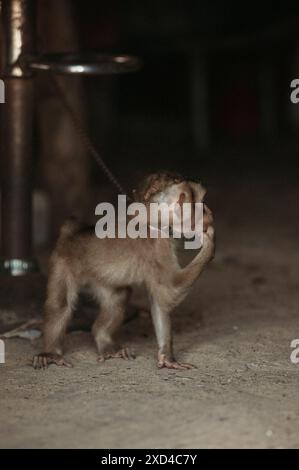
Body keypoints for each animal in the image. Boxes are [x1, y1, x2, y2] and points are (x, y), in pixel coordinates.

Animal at [33, 171, 216, 370]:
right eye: (199, 202)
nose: (208, 211)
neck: (151, 220)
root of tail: (72, 232)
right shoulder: (157, 244)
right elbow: (170, 290)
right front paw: (210, 242)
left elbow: (160, 299)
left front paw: (167, 358)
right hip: (63, 262)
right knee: (61, 304)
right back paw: (50, 352)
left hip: (102, 278)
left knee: (118, 296)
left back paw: (104, 340)